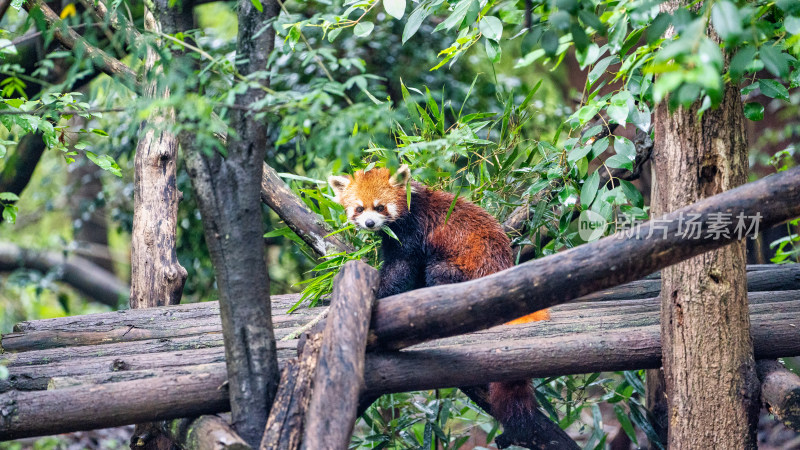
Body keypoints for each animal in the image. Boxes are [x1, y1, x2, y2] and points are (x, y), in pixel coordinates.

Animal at [330, 163, 552, 444]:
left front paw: (381, 291)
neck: (411, 204)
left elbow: (402, 266)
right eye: (359, 208)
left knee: (437, 272)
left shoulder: (412, 231)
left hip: (461, 271)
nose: (370, 223)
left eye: (380, 207)